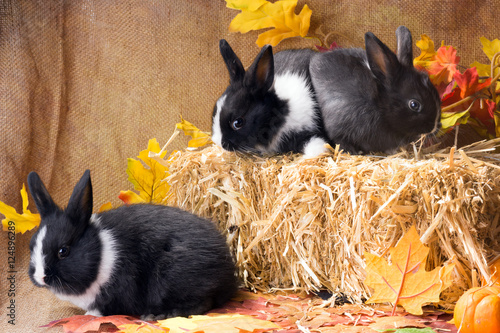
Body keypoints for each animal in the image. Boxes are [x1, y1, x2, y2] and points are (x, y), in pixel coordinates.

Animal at [27, 170, 238, 318]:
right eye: (31, 245)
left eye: (63, 251)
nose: (40, 277)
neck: (101, 253)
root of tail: (228, 271)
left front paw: (90, 315)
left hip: (174, 279)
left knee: (204, 303)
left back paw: (160, 315)